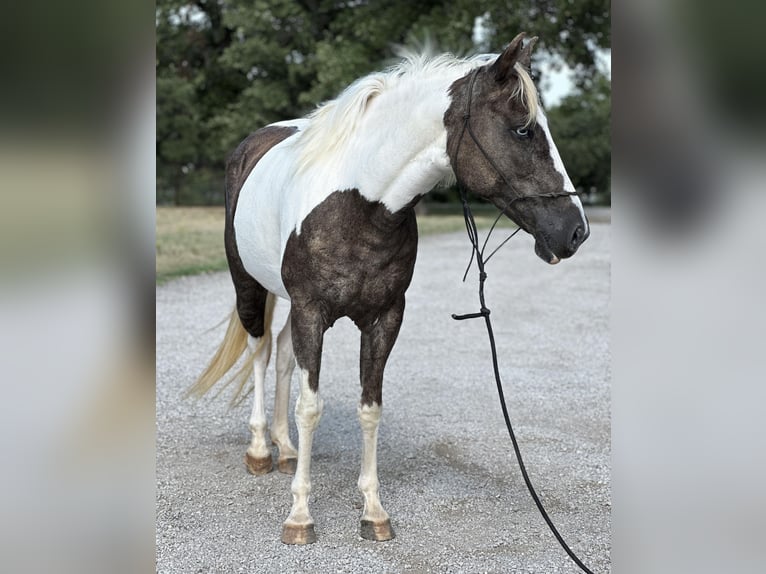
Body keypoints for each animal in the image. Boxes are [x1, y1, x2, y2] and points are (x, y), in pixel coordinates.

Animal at [189, 33, 592, 548]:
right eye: (523, 130)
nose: (575, 231)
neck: (361, 205)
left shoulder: (384, 318)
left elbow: (369, 407)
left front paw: (373, 511)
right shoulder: (311, 312)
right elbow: (310, 406)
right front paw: (300, 516)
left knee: (280, 355)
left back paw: (284, 447)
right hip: (249, 286)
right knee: (259, 353)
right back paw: (261, 449)